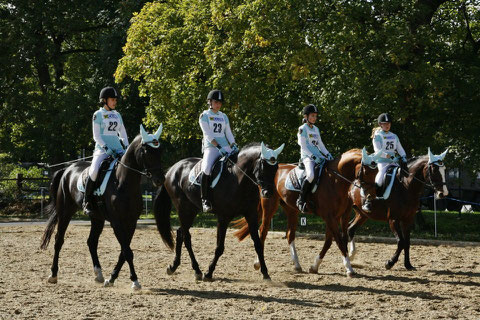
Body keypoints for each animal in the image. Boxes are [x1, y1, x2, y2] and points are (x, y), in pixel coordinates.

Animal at [40, 125, 169, 290]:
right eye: (146, 151)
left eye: (160, 151)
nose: (160, 180)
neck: (122, 183)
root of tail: (66, 170)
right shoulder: (117, 222)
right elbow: (127, 252)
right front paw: (134, 281)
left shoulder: (131, 222)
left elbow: (124, 251)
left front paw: (112, 278)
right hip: (65, 212)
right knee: (59, 240)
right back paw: (53, 274)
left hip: (97, 218)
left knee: (91, 242)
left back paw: (99, 274)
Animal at [152, 142, 284, 280]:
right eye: (263, 166)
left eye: (275, 168)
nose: (268, 193)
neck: (239, 179)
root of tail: (172, 169)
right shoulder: (223, 217)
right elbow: (219, 247)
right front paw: (209, 273)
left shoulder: (251, 215)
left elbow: (258, 244)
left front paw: (265, 273)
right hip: (183, 208)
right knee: (186, 237)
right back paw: (197, 270)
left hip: (191, 209)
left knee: (180, 232)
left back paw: (174, 266)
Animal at [233, 149, 378, 276]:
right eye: (367, 171)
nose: (371, 196)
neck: (336, 181)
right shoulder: (329, 217)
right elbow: (338, 241)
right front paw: (349, 268)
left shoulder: (339, 216)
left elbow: (331, 240)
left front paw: (315, 266)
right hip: (269, 206)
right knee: (263, 231)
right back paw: (258, 263)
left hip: (291, 210)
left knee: (290, 234)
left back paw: (297, 265)